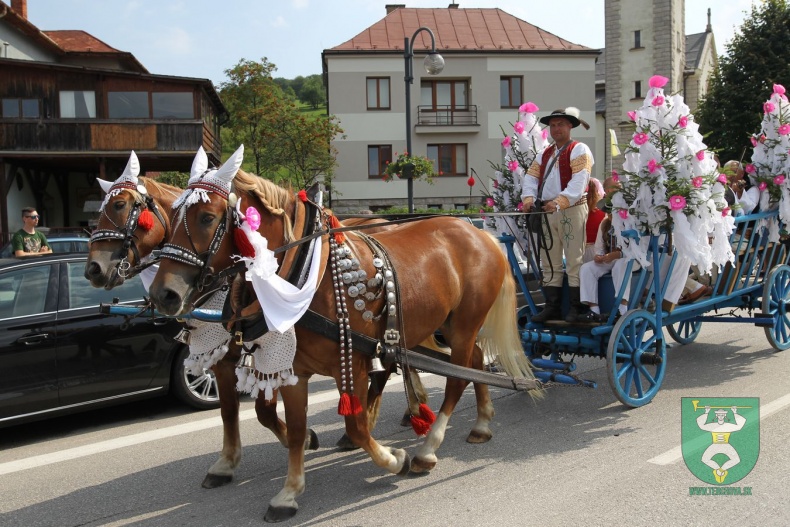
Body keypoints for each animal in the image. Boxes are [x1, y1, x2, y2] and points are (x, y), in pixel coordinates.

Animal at [148, 145, 540, 524]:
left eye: (207, 217)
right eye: (172, 220)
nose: (162, 294)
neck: (304, 272)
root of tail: (481, 233)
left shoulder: (352, 363)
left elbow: (356, 426)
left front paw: (394, 459)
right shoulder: (294, 371)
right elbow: (293, 430)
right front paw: (289, 492)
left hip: (463, 324)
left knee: (458, 380)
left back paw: (428, 449)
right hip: (449, 325)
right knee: (474, 361)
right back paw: (482, 423)